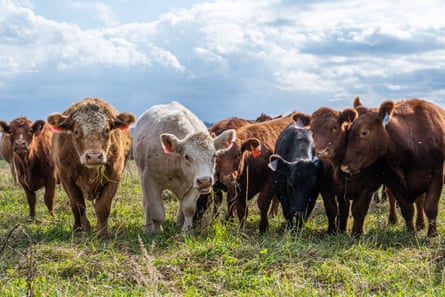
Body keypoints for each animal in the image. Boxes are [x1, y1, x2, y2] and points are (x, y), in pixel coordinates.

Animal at [47, 97, 135, 238]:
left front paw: (102, 233)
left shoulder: (114, 177)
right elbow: (78, 206)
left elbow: (103, 206)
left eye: (106, 130)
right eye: (76, 131)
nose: (94, 156)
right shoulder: (66, 179)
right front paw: (81, 228)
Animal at [133, 102, 234, 234]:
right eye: (187, 156)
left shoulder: (194, 185)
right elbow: (156, 210)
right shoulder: (149, 180)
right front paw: (157, 231)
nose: (205, 181)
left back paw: (179, 223)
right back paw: (148, 228)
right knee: (147, 204)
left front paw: (186, 230)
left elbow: (188, 207)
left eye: (214, 155)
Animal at [338, 99, 442, 236]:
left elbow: (430, 207)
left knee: (420, 200)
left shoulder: (437, 173)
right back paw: (393, 220)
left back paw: (420, 224)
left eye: (364, 132)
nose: (344, 166)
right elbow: (406, 208)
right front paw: (410, 231)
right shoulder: (392, 179)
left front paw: (432, 234)